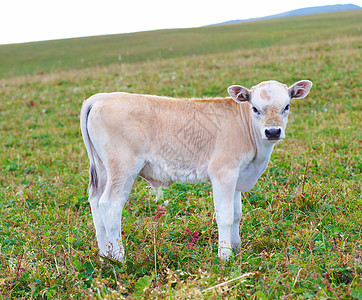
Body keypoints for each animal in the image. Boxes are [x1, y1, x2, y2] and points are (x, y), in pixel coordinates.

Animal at [79, 81, 312, 262]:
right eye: (255, 108)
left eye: (286, 106)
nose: (272, 131)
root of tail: (102, 97)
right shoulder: (223, 172)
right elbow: (225, 215)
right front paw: (225, 255)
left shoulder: (238, 176)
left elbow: (237, 214)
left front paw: (236, 247)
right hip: (122, 168)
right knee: (110, 205)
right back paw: (119, 259)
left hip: (103, 169)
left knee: (95, 203)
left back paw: (105, 256)